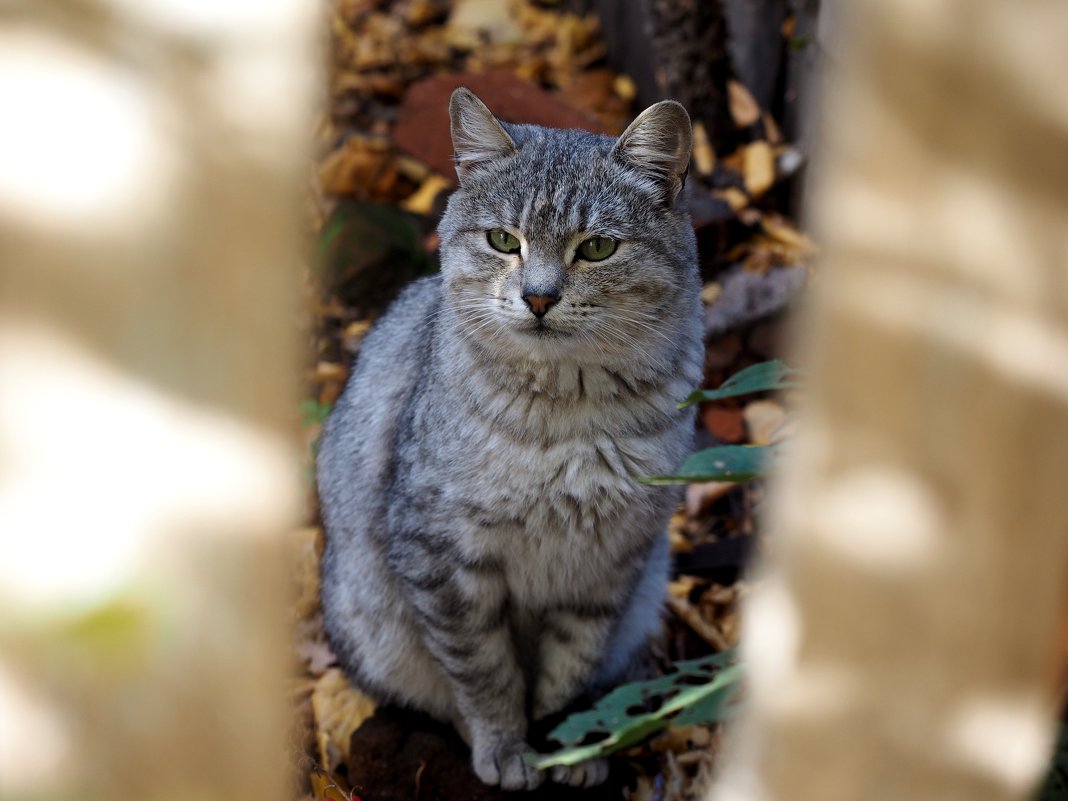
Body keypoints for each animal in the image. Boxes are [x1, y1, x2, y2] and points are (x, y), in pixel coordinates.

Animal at [313, 87, 700, 790]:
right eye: (502, 241)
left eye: (597, 248)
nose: (538, 297)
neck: (572, 412)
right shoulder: (442, 552)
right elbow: (483, 672)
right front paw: (508, 748)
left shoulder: (611, 562)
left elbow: (570, 667)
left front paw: (567, 745)